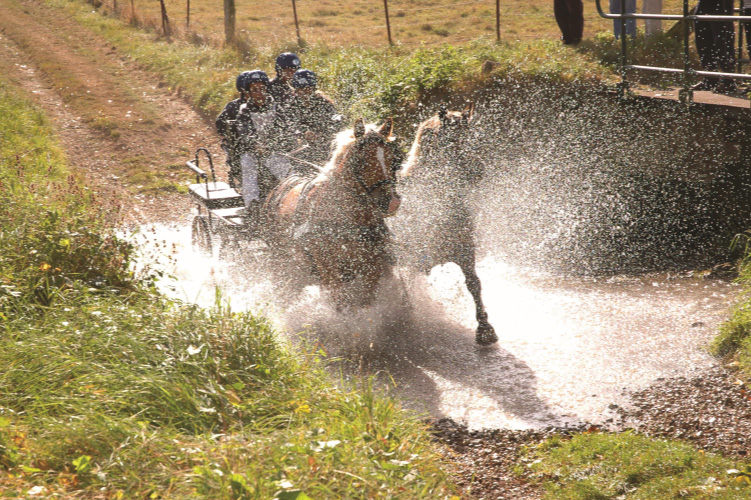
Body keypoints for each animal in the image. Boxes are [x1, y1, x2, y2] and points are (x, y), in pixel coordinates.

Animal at [262, 117, 406, 306]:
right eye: (361, 159)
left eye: (393, 159)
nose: (392, 202)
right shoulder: (330, 270)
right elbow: (341, 303)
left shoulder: (372, 267)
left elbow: (367, 301)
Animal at [394, 103, 500, 346]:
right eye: (451, 139)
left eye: (471, 135)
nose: (478, 170)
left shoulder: (465, 250)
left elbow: (474, 283)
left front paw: (485, 328)